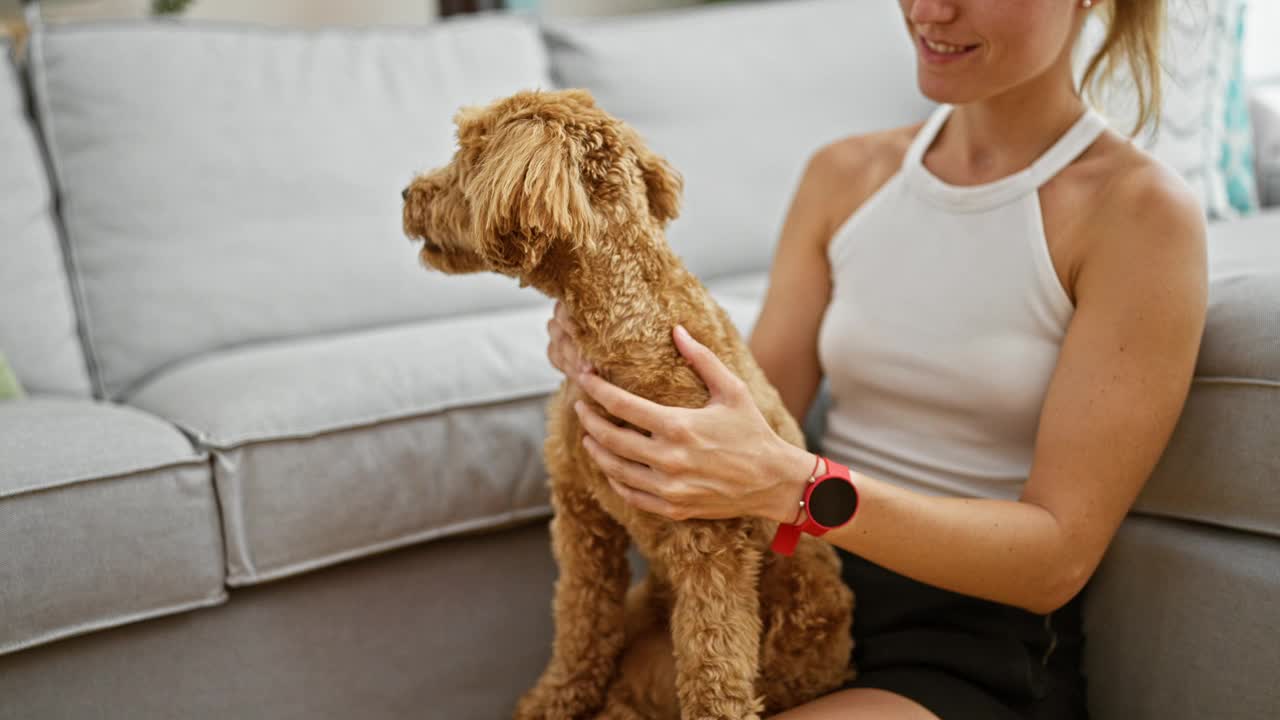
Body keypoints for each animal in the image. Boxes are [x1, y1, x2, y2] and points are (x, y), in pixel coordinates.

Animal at [404, 87, 855, 712]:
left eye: (467, 154)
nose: (407, 194)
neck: (627, 323)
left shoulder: (710, 546)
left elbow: (714, 668)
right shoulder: (582, 516)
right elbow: (580, 623)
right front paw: (550, 703)